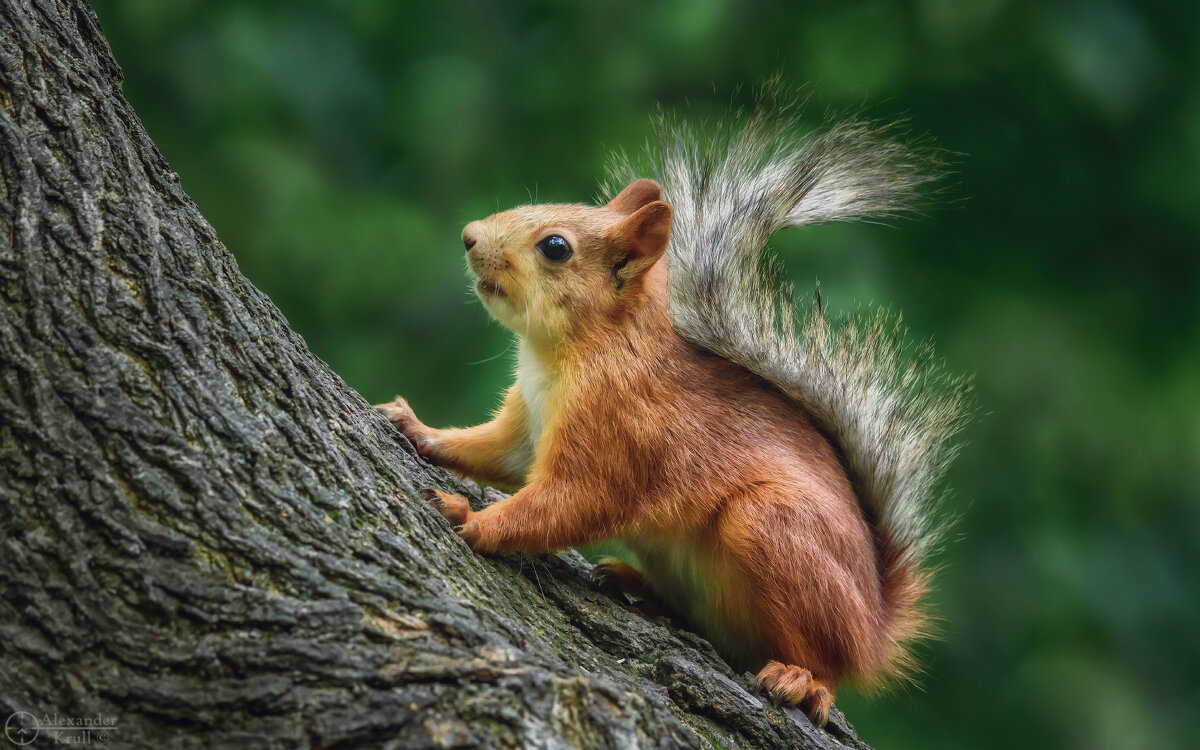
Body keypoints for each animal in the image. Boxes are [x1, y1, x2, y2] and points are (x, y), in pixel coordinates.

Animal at [379, 96, 969, 724]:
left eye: (555, 247)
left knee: (826, 659)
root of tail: (873, 630)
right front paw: (415, 427)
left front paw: (467, 516)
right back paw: (635, 583)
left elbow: (572, 502)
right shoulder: (525, 425)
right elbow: (495, 454)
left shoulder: (621, 430)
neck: (572, 353)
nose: (468, 237)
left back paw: (804, 679)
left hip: (774, 527)